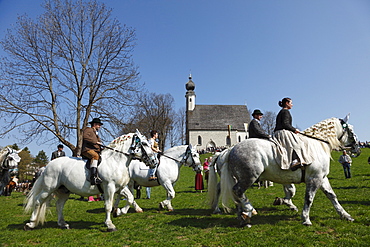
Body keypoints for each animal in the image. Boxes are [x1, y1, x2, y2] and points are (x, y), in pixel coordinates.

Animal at [23, 130, 158, 233]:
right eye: (144, 143)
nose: (154, 161)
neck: (115, 161)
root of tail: (47, 165)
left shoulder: (120, 188)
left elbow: (130, 198)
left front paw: (119, 212)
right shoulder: (109, 187)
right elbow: (108, 206)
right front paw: (110, 225)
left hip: (64, 190)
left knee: (59, 205)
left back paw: (63, 224)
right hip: (48, 189)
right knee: (38, 201)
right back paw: (31, 224)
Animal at [215, 116, 360, 227]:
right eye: (351, 130)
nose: (357, 149)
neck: (317, 145)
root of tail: (231, 149)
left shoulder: (322, 178)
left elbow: (332, 196)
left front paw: (345, 215)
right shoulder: (314, 178)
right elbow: (309, 198)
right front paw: (305, 219)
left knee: (235, 195)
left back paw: (243, 217)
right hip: (248, 178)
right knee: (237, 191)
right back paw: (249, 210)